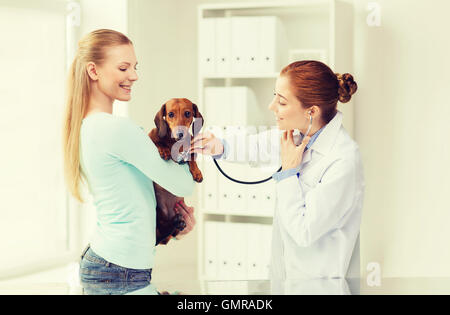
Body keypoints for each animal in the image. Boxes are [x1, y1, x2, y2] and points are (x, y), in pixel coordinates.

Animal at [148, 97, 204, 246]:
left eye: (187, 113)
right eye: (171, 114)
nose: (180, 134)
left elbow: (192, 157)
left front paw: (197, 172)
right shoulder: (152, 136)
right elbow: (157, 142)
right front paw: (164, 150)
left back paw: (177, 223)